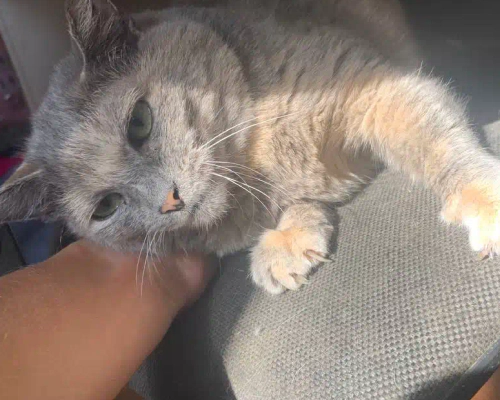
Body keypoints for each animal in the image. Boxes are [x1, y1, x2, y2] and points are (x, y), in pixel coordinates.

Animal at [1, 0, 499, 294]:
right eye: (106, 207)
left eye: (138, 123)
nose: (168, 201)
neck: (257, 165)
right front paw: (287, 242)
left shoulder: (376, 94)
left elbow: (440, 148)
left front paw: (486, 204)